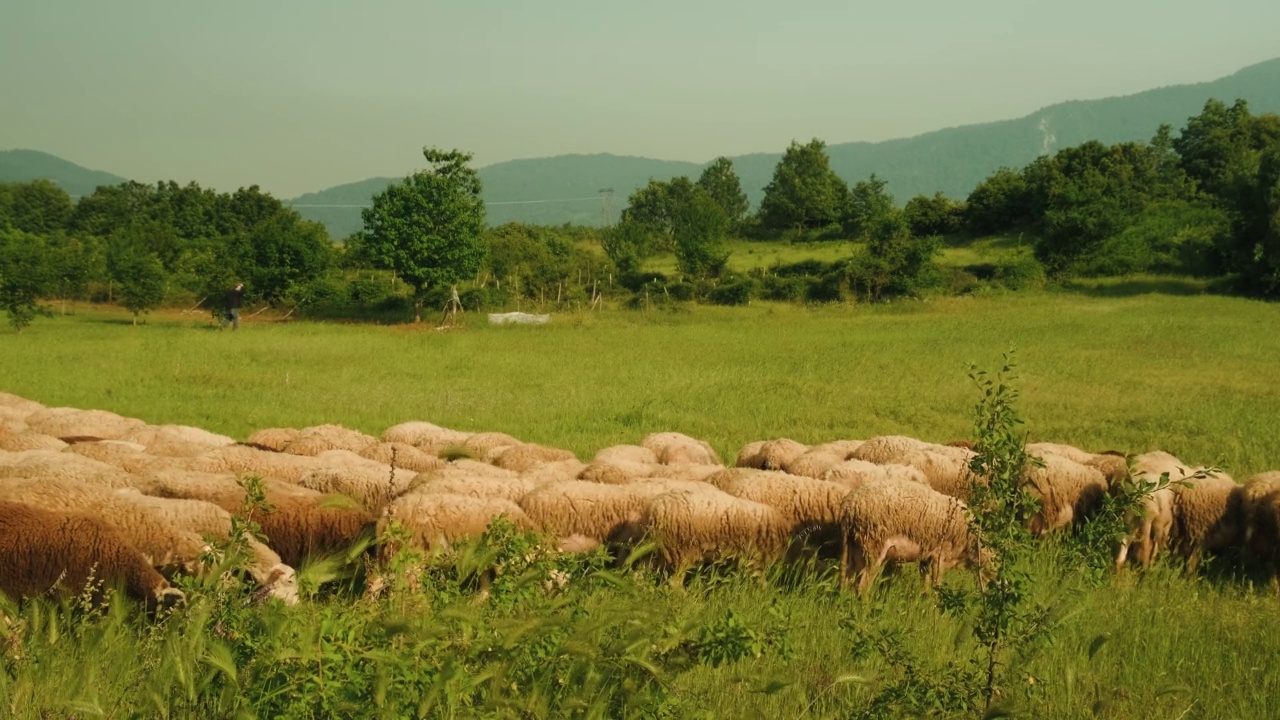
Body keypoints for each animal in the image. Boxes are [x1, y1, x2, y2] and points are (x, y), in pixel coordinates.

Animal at [632, 486, 783, 584]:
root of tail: (655, 509)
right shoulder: (757, 558)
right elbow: (760, 581)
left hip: (659, 548)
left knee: (641, 569)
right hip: (680, 550)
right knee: (674, 581)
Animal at [834, 474, 993, 591]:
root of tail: (849, 506)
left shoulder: (926, 557)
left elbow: (926, 586)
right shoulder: (940, 555)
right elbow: (937, 587)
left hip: (855, 547)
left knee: (847, 582)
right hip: (873, 547)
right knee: (862, 587)